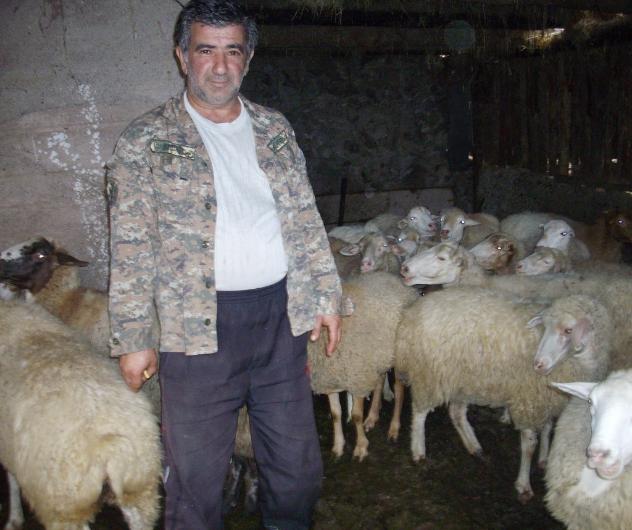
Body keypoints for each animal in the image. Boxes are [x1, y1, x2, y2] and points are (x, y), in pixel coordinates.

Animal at [308, 272, 418, 461]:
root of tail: (399, 281)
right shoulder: (329, 379)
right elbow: (336, 414)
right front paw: (338, 446)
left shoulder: (356, 376)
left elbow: (357, 415)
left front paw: (361, 447)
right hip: (377, 356)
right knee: (379, 381)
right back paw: (372, 416)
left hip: (398, 355)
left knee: (399, 390)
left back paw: (394, 428)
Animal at [393, 288, 611, 502]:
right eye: (545, 327)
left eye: (568, 330)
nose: (538, 364)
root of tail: (412, 311)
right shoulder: (528, 400)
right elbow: (529, 444)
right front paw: (523, 484)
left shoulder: (548, 400)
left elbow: (548, 428)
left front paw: (544, 459)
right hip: (429, 375)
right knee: (420, 412)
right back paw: (418, 449)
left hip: (462, 380)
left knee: (456, 412)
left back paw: (474, 446)